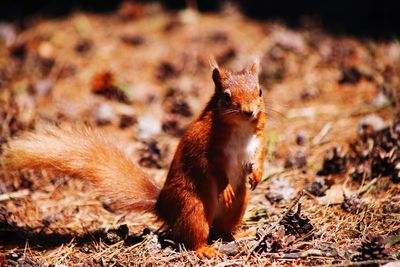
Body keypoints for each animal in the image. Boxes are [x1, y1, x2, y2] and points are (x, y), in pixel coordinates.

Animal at [3, 59, 266, 260]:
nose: (249, 111)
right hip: (192, 207)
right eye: (226, 97)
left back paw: (238, 235)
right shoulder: (204, 146)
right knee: (194, 236)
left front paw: (257, 174)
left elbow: (260, 156)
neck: (240, 129)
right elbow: (211, 167)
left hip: (238, 206)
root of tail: (163, 205)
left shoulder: (257, 141)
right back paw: (203, 249)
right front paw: (224, 186)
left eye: (260, 91)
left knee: (221, 230)